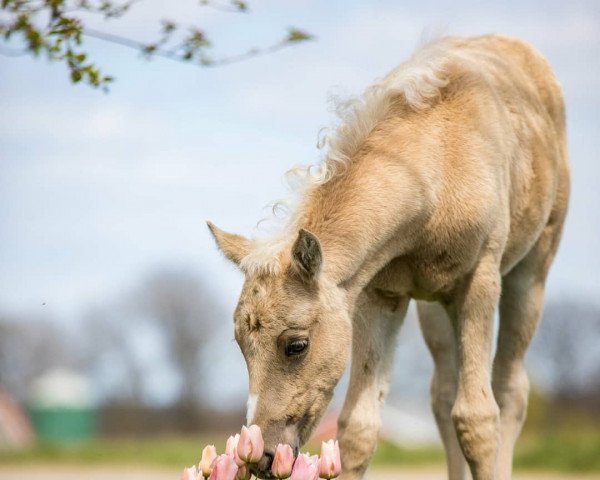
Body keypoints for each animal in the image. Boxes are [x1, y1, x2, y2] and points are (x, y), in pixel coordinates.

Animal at [211, 34, 572, 480]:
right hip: (435, 306)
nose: (262, 454)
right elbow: (358, 427)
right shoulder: (377, 295)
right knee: (443, 393)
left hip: (530, 270)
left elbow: (479, 418)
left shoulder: (480, 279)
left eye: (296, 345)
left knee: (509, 390)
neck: (440, 163)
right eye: (241, 345)